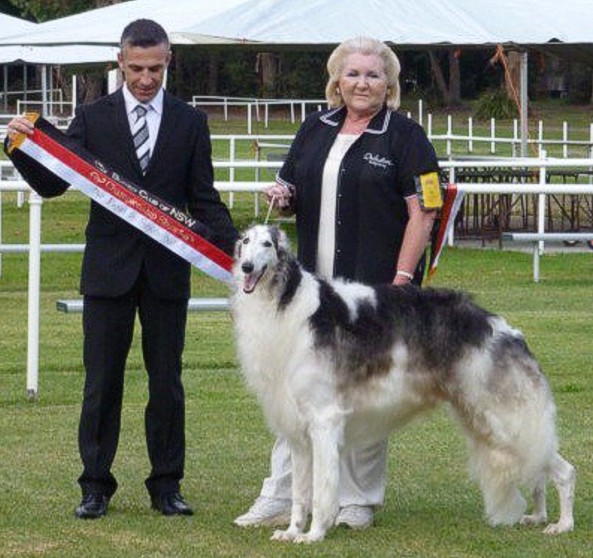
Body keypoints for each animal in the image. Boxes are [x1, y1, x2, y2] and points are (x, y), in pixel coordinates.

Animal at [231, 225, 572, 544]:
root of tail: (505, 329)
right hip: (485, 418)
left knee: (564, 471)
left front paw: (313, 535)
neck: (286, 302)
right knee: (538, 469)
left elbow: (322, 490)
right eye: (245, 242)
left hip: (505, 419)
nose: (246, 267)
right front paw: (292, 531)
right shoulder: (299, 433)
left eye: (268, 244)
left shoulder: (324, 420)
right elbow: (301, 495)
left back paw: (563, 524)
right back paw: (538, 515)